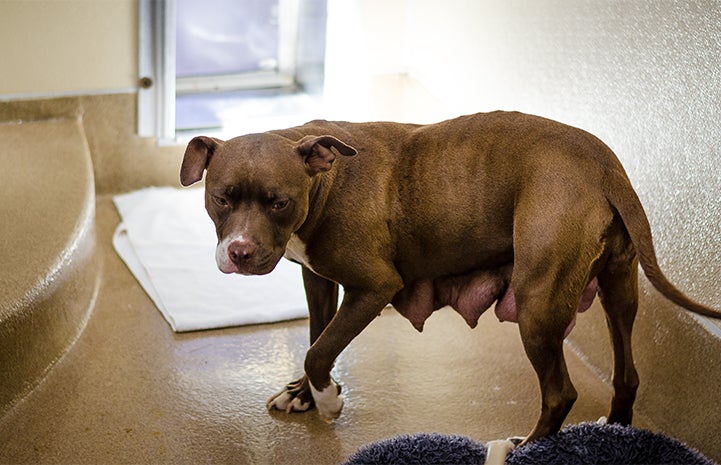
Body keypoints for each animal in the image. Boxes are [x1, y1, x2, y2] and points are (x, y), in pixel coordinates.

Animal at [179, 111, 720, 442]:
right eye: (221, 198)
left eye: (279, 202)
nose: (241, 251)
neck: (324, 179)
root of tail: (604, 162)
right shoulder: (319, 280)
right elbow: (317, 335)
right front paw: (303, 394)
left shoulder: (373, 287)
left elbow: (320, 348)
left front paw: (328, 400)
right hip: (618, 289)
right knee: (627, 372)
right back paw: (615, 429)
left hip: (538, 304)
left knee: (560, 392)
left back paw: (527, 446)